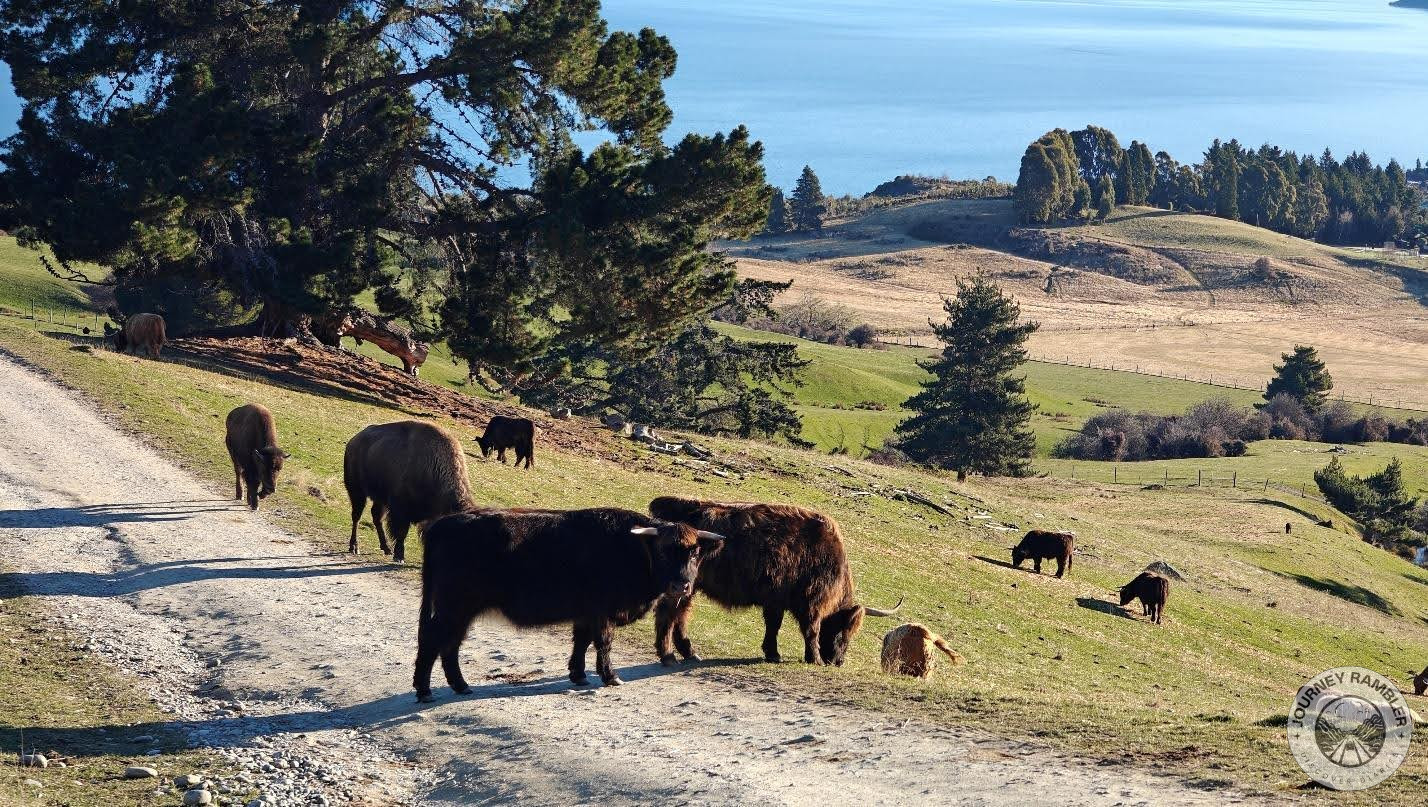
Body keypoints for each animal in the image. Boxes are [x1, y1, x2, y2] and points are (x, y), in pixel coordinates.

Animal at [344, 421, 473, 563]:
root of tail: (353, 442)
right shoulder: (400, 510)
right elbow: (401, 533)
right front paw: (399, 556)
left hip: (379, 498)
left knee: (376, 517)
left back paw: (386, 548)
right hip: (356, 491)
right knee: (356, 516)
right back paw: (354, 547)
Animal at [413, 508, 725, 702]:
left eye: (694, 553)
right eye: (663, 551)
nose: (681, 585)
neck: (632, 550)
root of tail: (442, 524)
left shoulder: (585, 614)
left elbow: (581, 641)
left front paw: (578, 675)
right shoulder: (601, 612)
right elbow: (603, 643)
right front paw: (610, 676)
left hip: (459, 612)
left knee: (449, 645)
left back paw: (460, 686)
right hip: (453, 608)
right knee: (433, 642)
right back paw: (424, 690)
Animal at [648, 496, 901, 667]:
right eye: (844, 631)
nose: (838, 662)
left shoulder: (775, 601)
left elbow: (773, 625)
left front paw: (772, 653)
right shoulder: (809, 603)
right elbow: (810, 630)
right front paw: (812, 658)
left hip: (689, 588)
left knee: (680, 615)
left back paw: (689, 652)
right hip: (680, 585)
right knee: (668, 614)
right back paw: (668, 656)